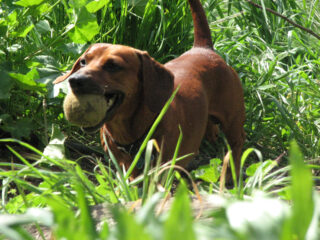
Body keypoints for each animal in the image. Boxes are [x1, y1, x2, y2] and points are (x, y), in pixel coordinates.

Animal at [53, 0, 246, 178]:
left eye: (113, 65)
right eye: (83, 61)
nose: (75, 80)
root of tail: (203, 48)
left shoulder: (160, 169)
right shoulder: (124, 165)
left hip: (233, 122)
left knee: (237, 146)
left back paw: (233, 176)